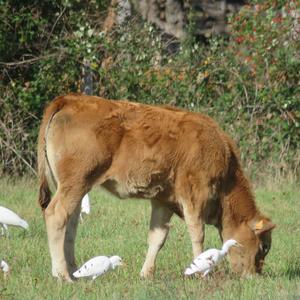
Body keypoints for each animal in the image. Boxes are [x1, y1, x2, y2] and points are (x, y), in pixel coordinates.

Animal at [38, 94, 276, 282]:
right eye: (263, 247)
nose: (255, 275)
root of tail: (69, 100)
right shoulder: (194, 196)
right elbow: (197, 233)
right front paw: (201, 271)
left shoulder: (163, 201)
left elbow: (157, 238)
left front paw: (146, 274)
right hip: (75, 183)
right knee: (56, 215)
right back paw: (62, 276)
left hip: (75, 187)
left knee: (71, 224)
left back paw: (74, 271)